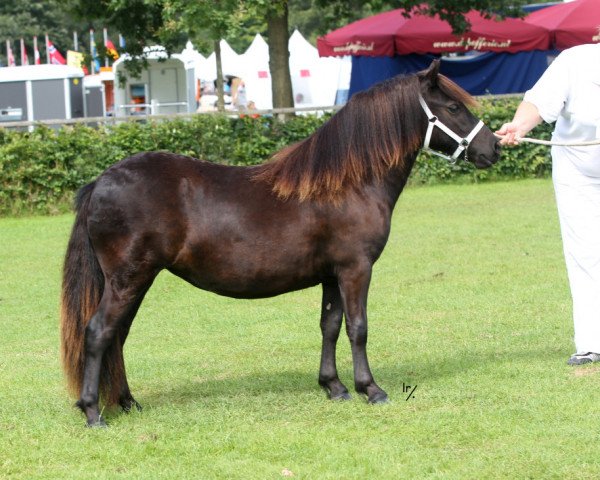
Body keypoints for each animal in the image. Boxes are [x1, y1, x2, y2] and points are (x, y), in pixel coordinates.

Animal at [61, 61, 502, 428]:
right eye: (453, 107)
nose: (494, 147)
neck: (348, 183)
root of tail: (102, 181)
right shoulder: (356, 269)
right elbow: (358, 327)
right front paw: (371, 389)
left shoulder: (332, 275)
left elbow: (330, 326)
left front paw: (333, 386)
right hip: (128, 279)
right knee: (99, 332)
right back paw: (94, 413)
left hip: (137, 281)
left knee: (117, 336)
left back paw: (126, 402)